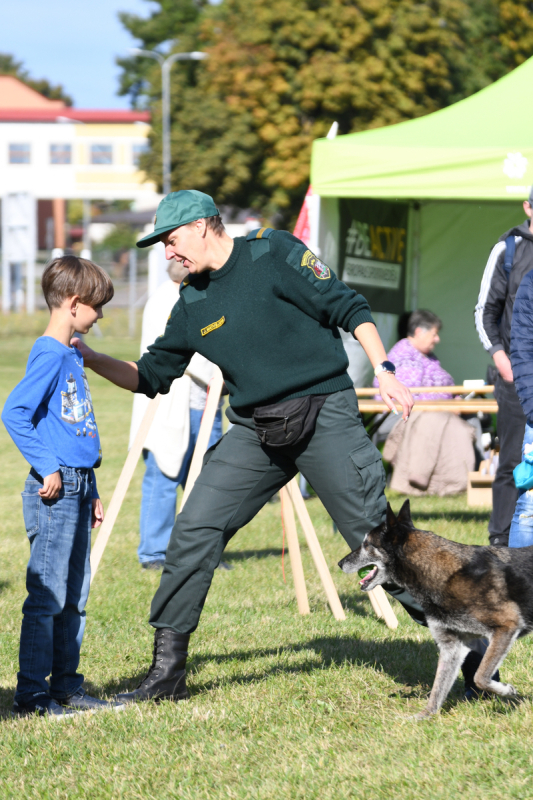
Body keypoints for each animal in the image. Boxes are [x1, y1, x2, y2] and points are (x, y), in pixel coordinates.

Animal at [338, 500, 528, 720]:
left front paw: (506, 690)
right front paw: (423, 717)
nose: (339, 563)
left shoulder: (507, 626)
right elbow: (438, 689)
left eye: (367, 544)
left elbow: (480, 676)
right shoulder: (452, 646)